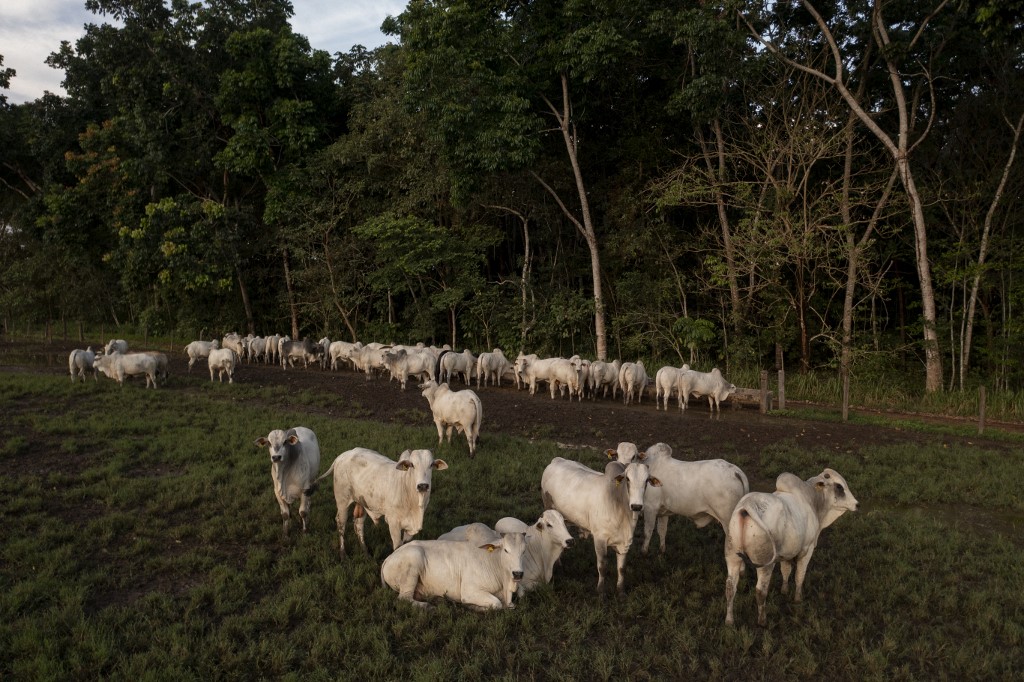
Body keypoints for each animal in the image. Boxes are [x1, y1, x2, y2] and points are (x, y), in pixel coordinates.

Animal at [315, 446, 448, 557]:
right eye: (412, 465)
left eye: (431, 465)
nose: (423, 486)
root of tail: (344, 455)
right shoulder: (394, 523)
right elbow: (397, 547)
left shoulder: (409, 529)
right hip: (342, 501)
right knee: (341, 523)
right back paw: (343, 554)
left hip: (362, 502)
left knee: (358, 524)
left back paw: (365, 552)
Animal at [382, 528, 528, 606]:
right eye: (506, 550)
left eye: (524, 551)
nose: (518, 574)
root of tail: (389, 557)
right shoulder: (469, 591)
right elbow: (497, 603)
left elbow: (522, 593)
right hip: (413, 559)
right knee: (404, 598)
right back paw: (426, 606)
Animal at [610, 440, 749, 552]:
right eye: (616, 455)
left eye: (633, 456)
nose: (621, 468)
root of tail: (736, 471)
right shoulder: (663, 512)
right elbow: (662, 531)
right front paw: (662, 550)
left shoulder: (650, 509)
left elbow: (647, 532)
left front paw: (644, 551)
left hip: (728, 523)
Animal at [724, 466, 860, 622]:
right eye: (839, 486)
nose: (857, 504)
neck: (812, 501)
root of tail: (746, 508)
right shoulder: (806, 550)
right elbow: (799, 575)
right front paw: (798, 598)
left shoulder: (787, 553)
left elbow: (786, 570)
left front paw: (784, 590)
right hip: (765, 563)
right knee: (760, 590)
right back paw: (762, 620)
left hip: (732, 556)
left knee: (730, 587)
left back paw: (729, 620)